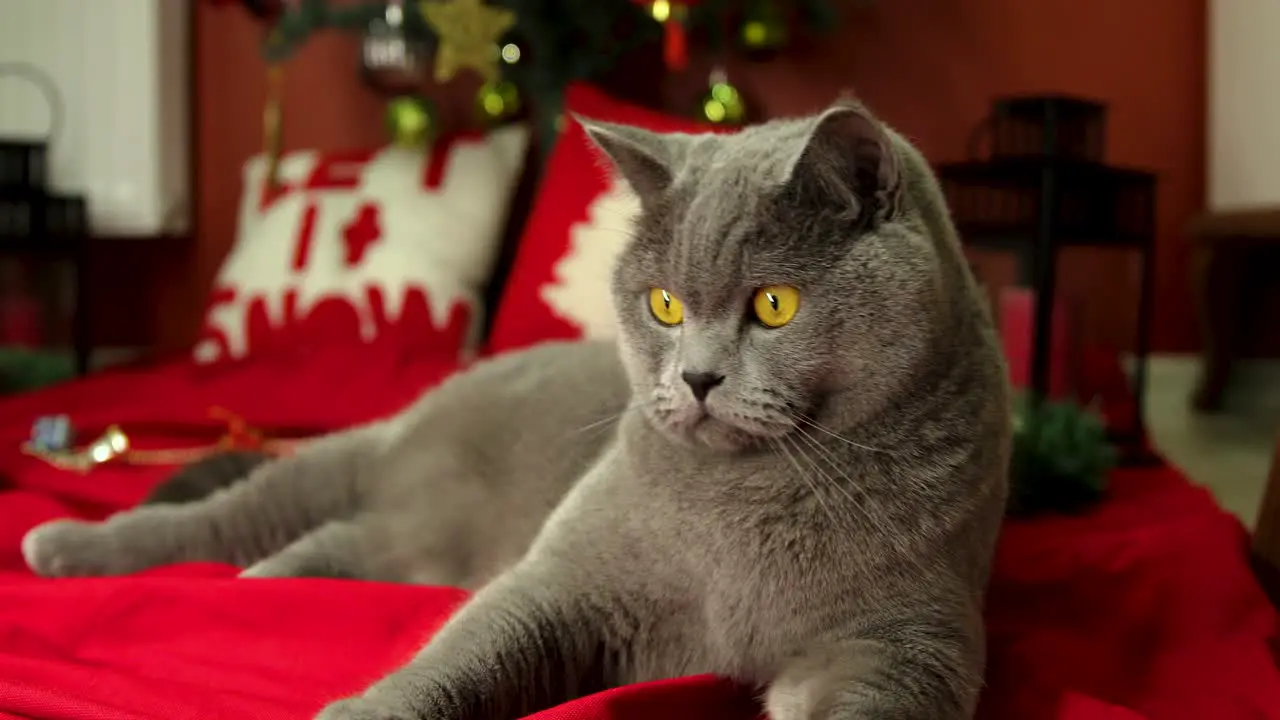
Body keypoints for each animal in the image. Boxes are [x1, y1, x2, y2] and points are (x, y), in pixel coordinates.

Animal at [20, 99, 1008, 717]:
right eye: (664, 305)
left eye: (774, 304)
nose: (694, 378)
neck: (748, 511)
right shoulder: (564, 578)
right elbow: (467, 655)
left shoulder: (909, 639)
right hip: (355, 457)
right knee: (226, 518)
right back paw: (66, 547)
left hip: (403, 544)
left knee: (335, 546)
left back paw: (279, 576)